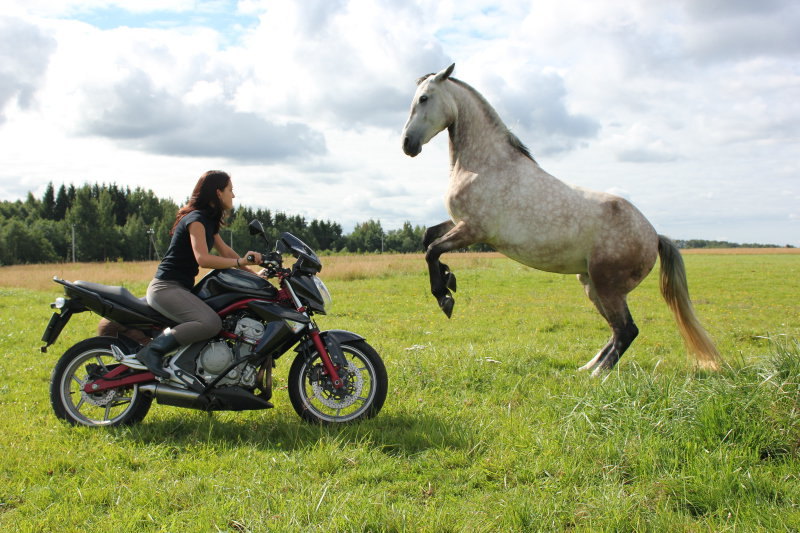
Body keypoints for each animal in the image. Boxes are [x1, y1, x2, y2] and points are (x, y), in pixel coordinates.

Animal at [404, 63, 720, 374]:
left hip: (608, 287)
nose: (408, 144)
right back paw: (586, 368)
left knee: (627, 330)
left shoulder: (473, 229)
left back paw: (596, 376)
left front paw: (445, 297)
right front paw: (450, 279)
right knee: (616, 330)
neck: (485, 165)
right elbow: (428, 237)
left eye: (424, 98)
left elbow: (432, 250)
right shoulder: (458, 223)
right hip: (591, 284)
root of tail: (654, 236)